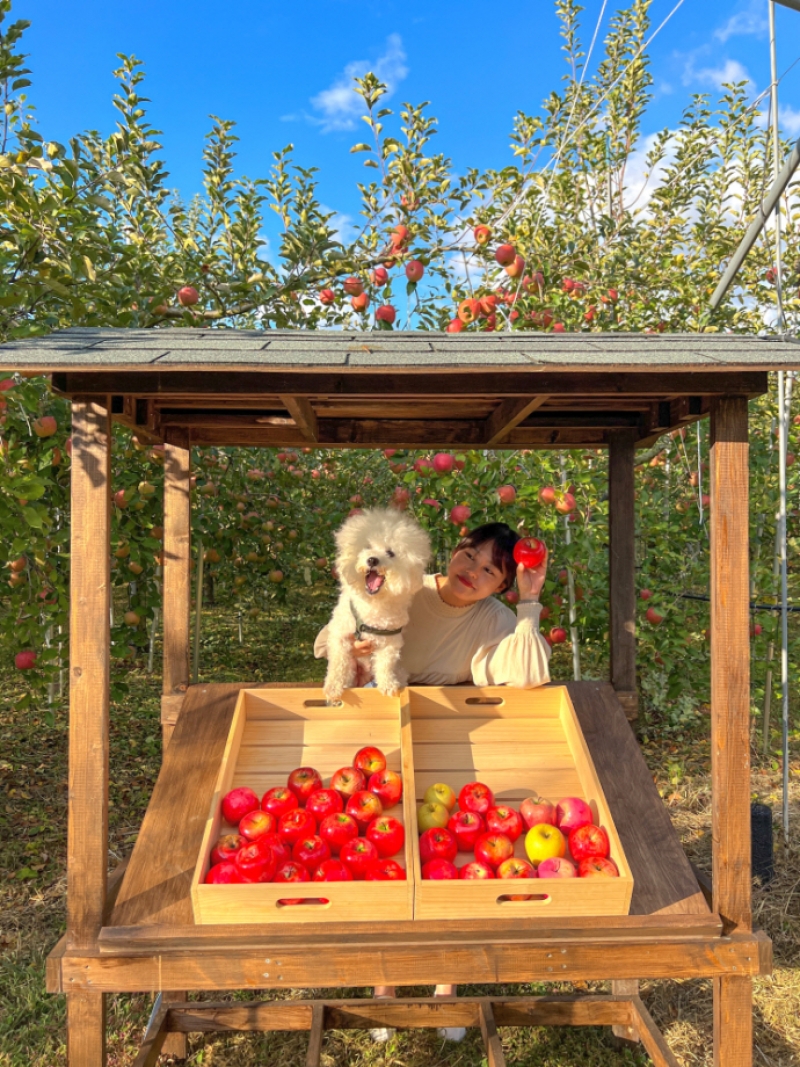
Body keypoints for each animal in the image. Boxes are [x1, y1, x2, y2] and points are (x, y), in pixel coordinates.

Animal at [322, 505, 433, 704]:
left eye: (391, 553)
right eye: (367, 547)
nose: (372, 559)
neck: (373, 603)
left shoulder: (389, 644)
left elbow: (385, 665)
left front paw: (388, 685)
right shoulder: (339, 636)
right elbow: (338, 664)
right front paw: (333, 687)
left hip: (400, 671)